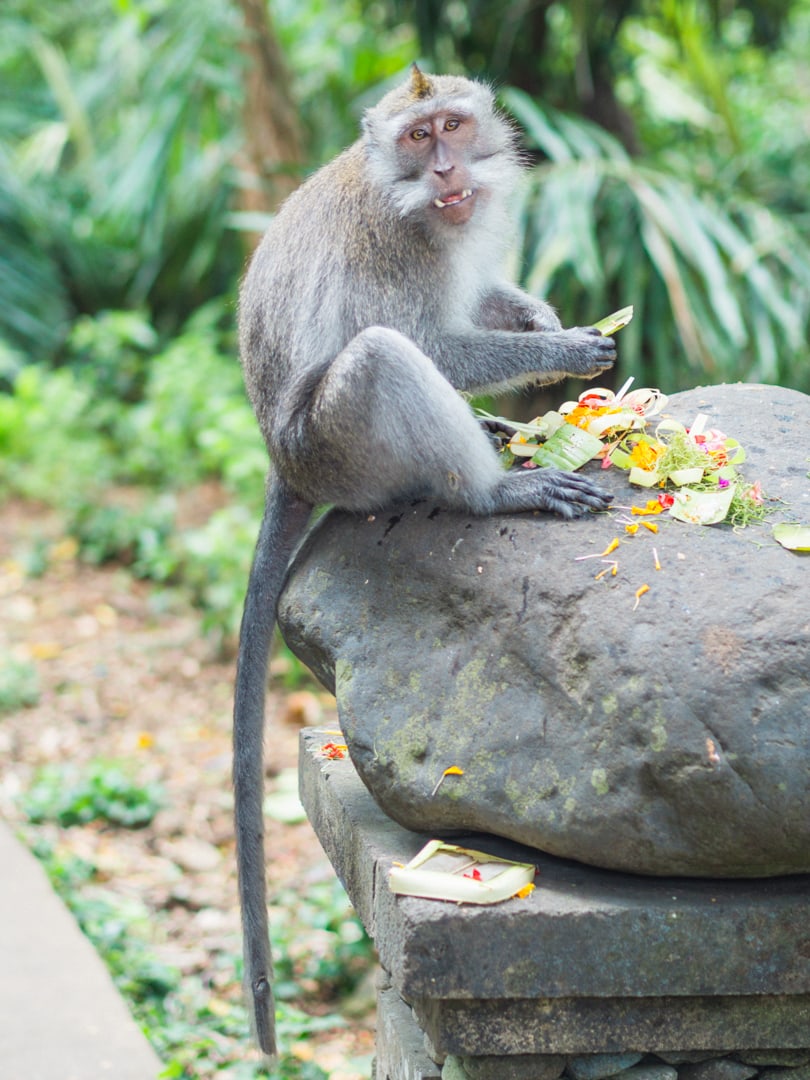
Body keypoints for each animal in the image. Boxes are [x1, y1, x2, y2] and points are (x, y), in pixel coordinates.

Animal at [233, 65, 613, 1054]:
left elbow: (476, 304)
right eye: (415, 138)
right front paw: (560, 345)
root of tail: (285, 462)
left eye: (451, 126)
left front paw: (534, 313)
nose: (445, 169)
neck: (419, 208)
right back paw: (495, 491)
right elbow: (431, 341)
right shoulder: (394, 248)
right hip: (339, 447)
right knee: (382, 357)